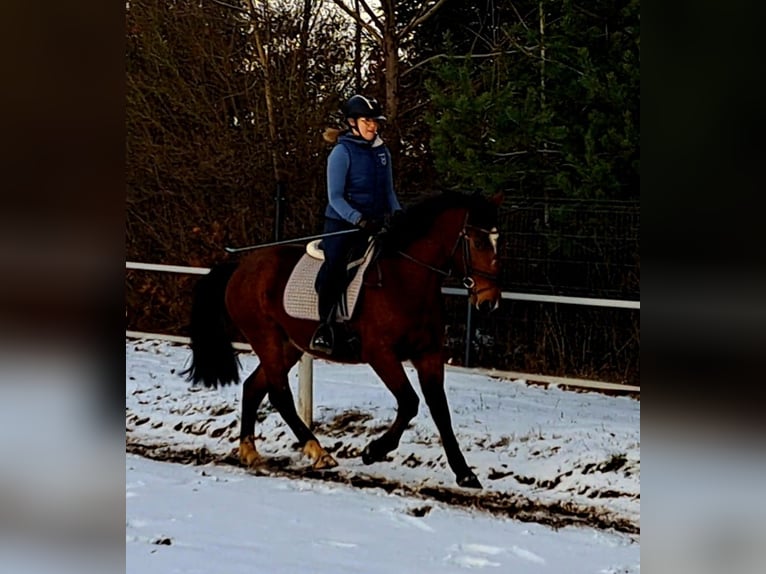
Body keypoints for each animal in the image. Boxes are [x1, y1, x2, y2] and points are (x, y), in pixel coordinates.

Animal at [183, 190, 502, 488]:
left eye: (498, 242)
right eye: (479, 243)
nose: (489, 302)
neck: (405, 280)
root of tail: (240, 267)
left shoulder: (429, 354)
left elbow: (440, 410)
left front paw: (464, 473)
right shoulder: (381, 354)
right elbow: (410, 402)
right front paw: (374, 451)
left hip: (289, 346)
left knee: (254, 387)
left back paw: (250, 451)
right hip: (266, 338)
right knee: (279, 394)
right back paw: (318, 452)